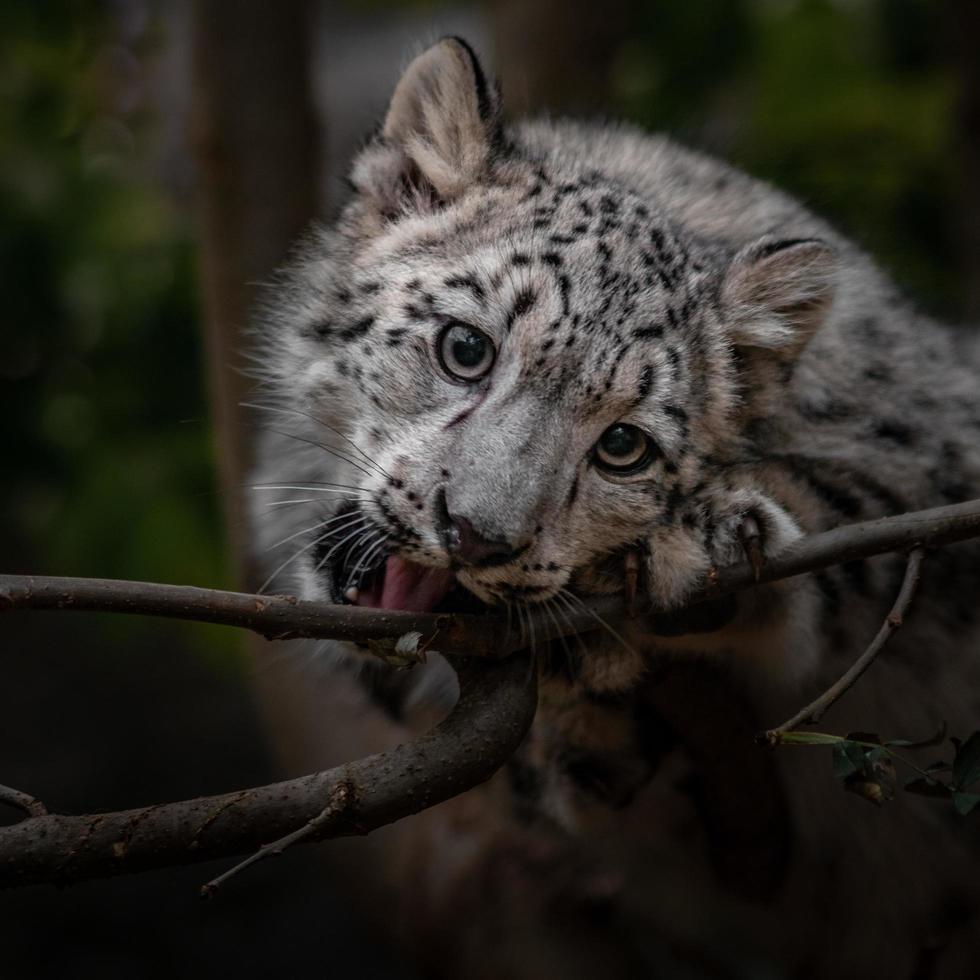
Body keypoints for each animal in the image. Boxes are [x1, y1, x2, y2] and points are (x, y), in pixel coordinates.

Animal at [251, 38, 980, 980]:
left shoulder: (929, 450)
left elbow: (850, 507)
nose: (474, 535)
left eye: (624, 446)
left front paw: (705, 549)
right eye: (465, 346)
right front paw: (585, 728)